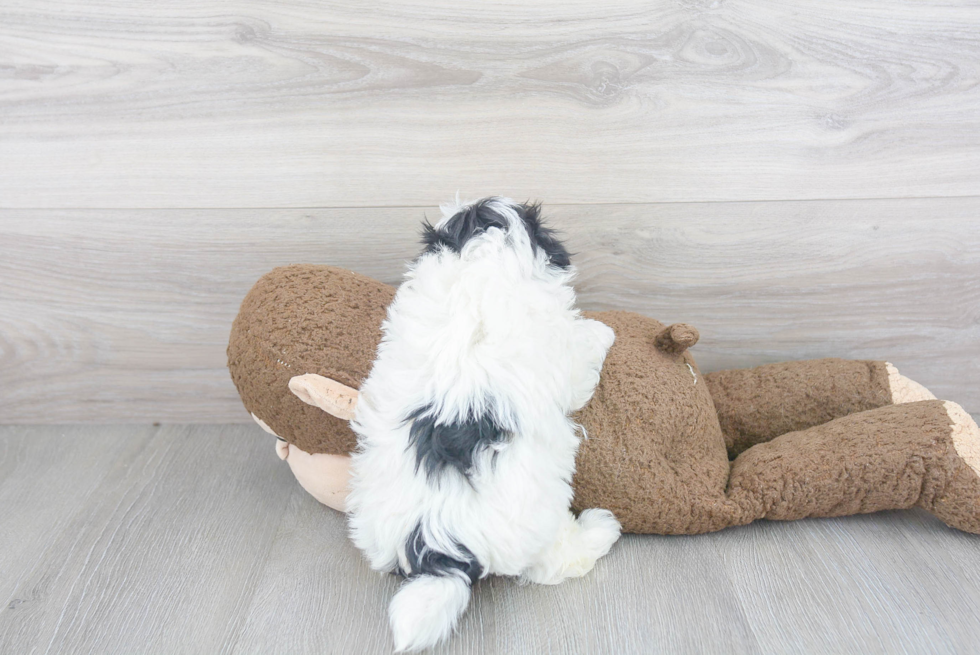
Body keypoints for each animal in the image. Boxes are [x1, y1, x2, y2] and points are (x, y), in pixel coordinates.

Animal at [344, 195, 620, 652]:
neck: (479, 261)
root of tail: (437, 545)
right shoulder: (560, 352)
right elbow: (582, 360)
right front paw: (601, 332)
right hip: (537, 518)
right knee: (554, 561)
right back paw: (600, 529)